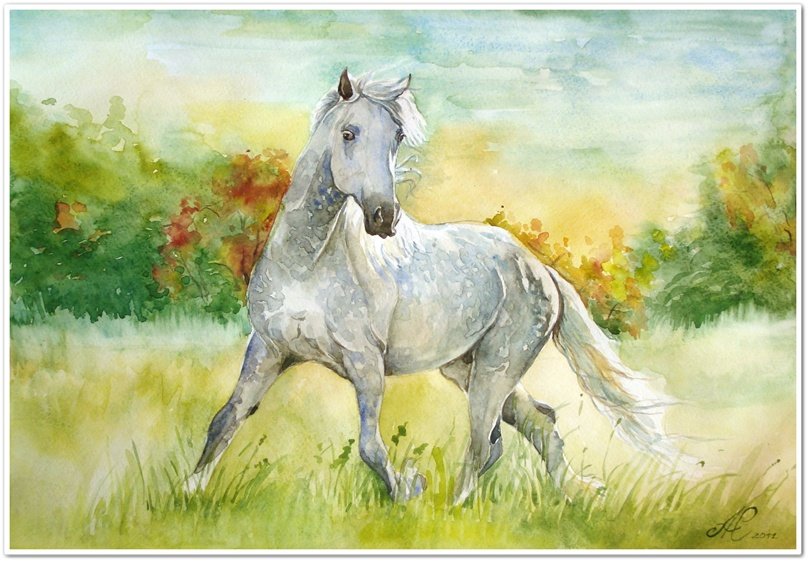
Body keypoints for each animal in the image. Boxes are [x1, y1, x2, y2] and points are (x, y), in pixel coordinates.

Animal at [186, 69, 684, 505]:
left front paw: (408, 490)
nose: (384, 217)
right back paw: (573, 493)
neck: (307, 265)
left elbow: (370, 446)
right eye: (348, 133)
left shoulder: (365, 365)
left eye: (396, 138)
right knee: (536, 422)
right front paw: (188, 492)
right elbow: (225, 420)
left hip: (496, 368)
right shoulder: (268, 349)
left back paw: (453, 508)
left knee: (485, 443)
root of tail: (540, 269)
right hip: (466, 368)